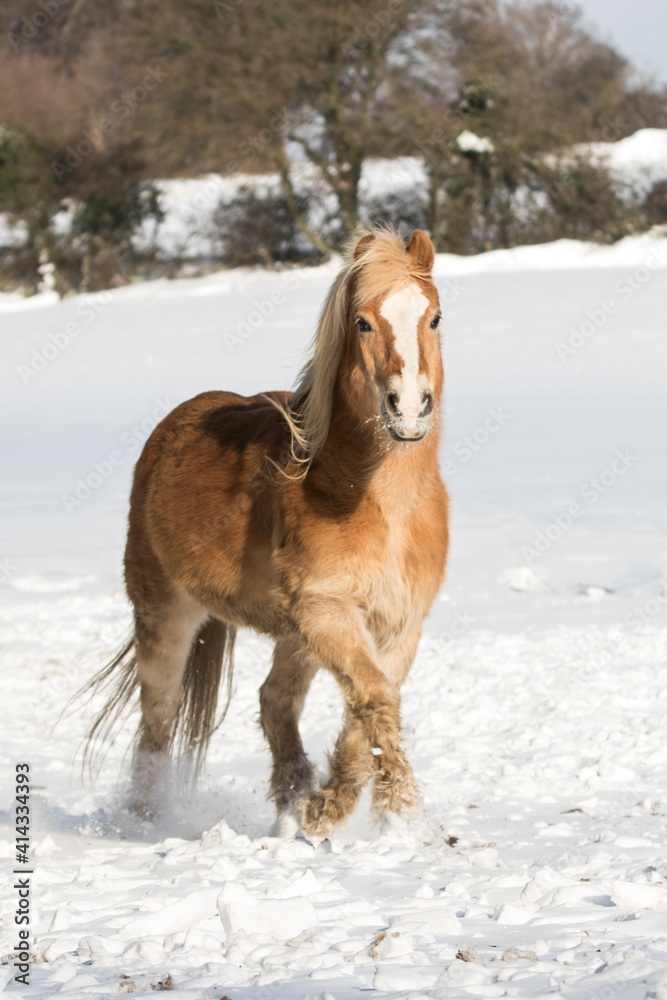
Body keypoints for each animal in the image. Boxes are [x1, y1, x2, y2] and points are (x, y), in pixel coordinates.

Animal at [83, 227, 448, 836]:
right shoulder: (327, 608)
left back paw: (294, 799)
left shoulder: (398, 623)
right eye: (362, 322)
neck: (381, 503)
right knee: (157, 720)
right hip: (167, 615)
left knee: (273, 701)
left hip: (293, 635)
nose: (410, 409)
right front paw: (400, 815)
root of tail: (169, 430)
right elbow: (374, 699)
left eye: (435, 317)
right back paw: (148, 820)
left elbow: (367, 707)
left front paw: (329, 807)